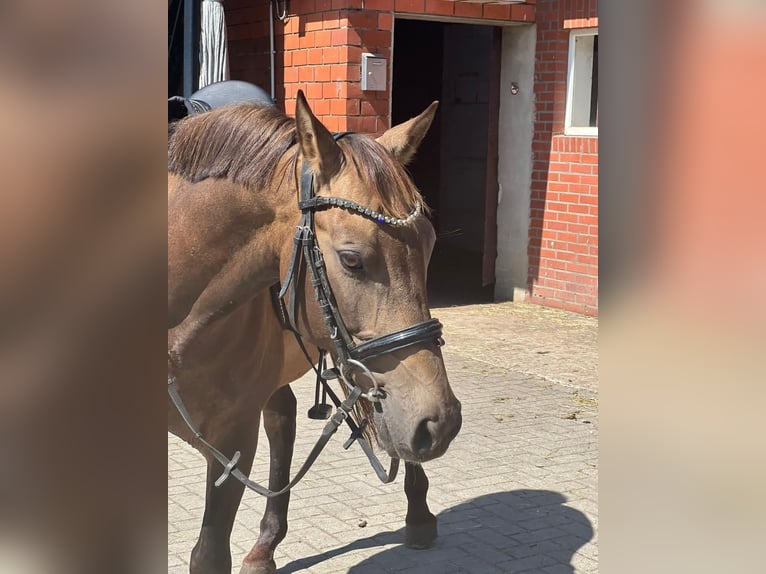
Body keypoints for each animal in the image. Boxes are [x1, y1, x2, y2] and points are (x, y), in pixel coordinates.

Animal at [168, 92, 462, 572]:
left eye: (431, 247)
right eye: (351, 259)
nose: (442, 423)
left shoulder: (233, 439)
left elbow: (208, 555)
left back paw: (418, 516)